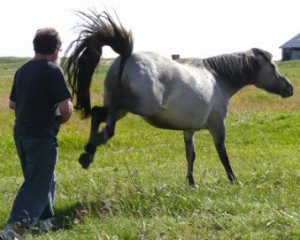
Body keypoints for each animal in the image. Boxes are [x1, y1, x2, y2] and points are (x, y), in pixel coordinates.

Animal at [63, 9, 292, 186]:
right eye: (273, 67)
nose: (289, 88)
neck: (218, 79)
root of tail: (127, 56)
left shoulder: (189, 129)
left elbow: (190, 154)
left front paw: (191, 183)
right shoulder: (218, 125)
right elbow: (222, 152)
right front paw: (233, 179)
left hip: (121, 108)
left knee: (98, 113)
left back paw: (89, 152)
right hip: (140, 106)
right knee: (106, 118)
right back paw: (97, 142)